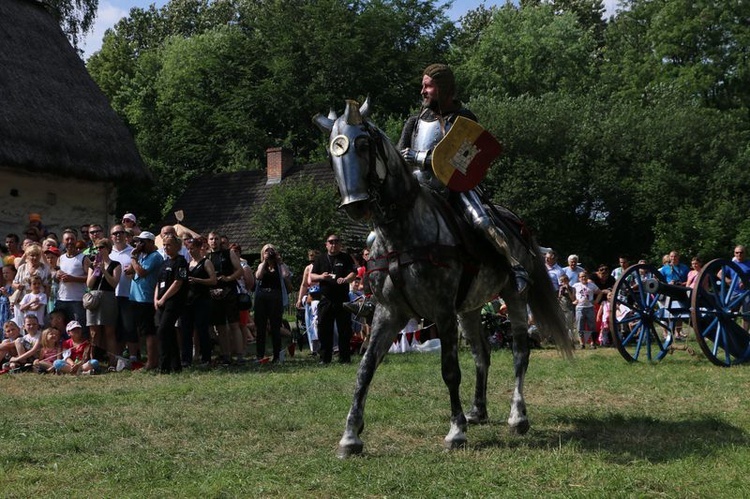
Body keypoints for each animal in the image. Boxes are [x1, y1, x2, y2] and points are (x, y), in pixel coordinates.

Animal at [314, 97, 572, 458]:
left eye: (363, 144)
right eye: (332, 152)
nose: (356, 204)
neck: (401, 233)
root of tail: (515, 222)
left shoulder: (442, 311)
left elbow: (450, 370)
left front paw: (456, 431)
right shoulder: (389, 313)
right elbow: (365, 368)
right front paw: (350, 436)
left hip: (513, 297)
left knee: (520, 353)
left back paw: (517, 416)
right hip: (470, 309)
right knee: (482, 353)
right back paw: (478, 411)